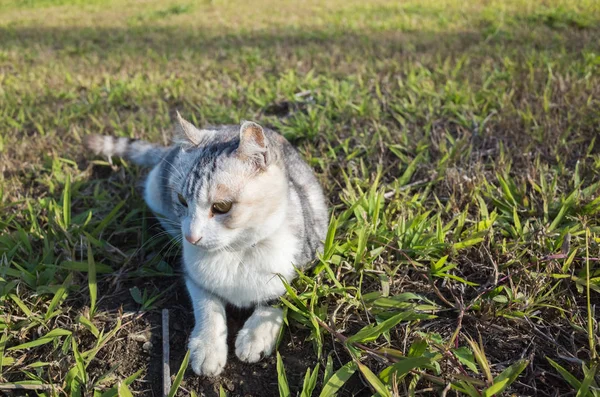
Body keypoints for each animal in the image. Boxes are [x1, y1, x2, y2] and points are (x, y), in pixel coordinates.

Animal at [84, 113, 328, 376]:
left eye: (221, 207)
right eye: (182, 200)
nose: (191, 237)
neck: (236, 253)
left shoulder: (305, 261)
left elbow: (279, 296)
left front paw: (256, 336)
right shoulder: (193, 275)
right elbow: (207, 305)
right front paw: (208, 347)